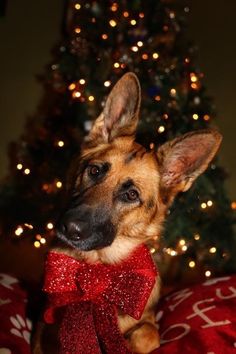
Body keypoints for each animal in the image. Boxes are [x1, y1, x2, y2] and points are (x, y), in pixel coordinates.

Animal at [32, 73, 221, 352]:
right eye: (95, 170)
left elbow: (148, 334)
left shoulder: (149, 322)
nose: (69, 228)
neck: (99, 270)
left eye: (131, 195)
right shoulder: (46, 328)